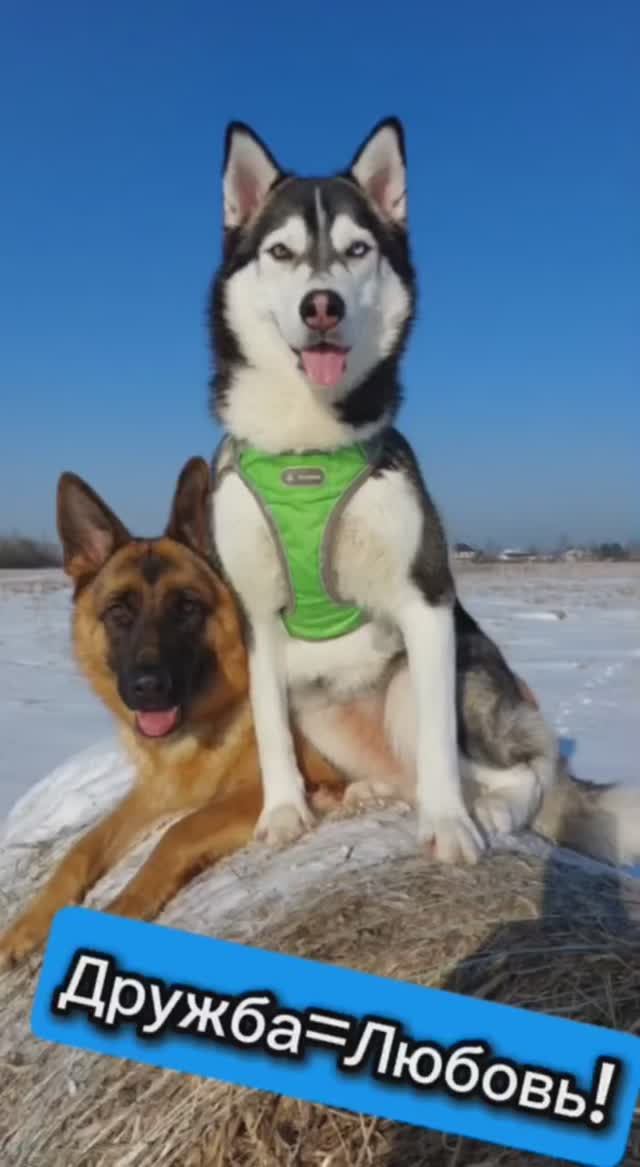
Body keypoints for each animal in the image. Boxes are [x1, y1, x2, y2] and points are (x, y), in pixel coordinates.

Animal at [0, 458, 346, 967]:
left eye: (186, 608)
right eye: (118, 612)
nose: (148, 689)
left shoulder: (291, 784)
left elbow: (181, 830)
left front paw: (121, 908)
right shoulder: (152, 794)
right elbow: (81, 849)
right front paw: (27, 924)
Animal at [208, 116, 640, 869]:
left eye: (357, 250)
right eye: (281, 252)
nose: (322, 306)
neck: (308, 446)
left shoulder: (426, 597)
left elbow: (442, 746)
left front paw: (449, 827)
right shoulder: (255, 616)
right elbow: (267, 730)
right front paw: (283, 812)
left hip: (432, 683)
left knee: (530, 768)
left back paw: (489, 809)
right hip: (322, 709)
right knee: (402, 768)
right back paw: (370, 793)